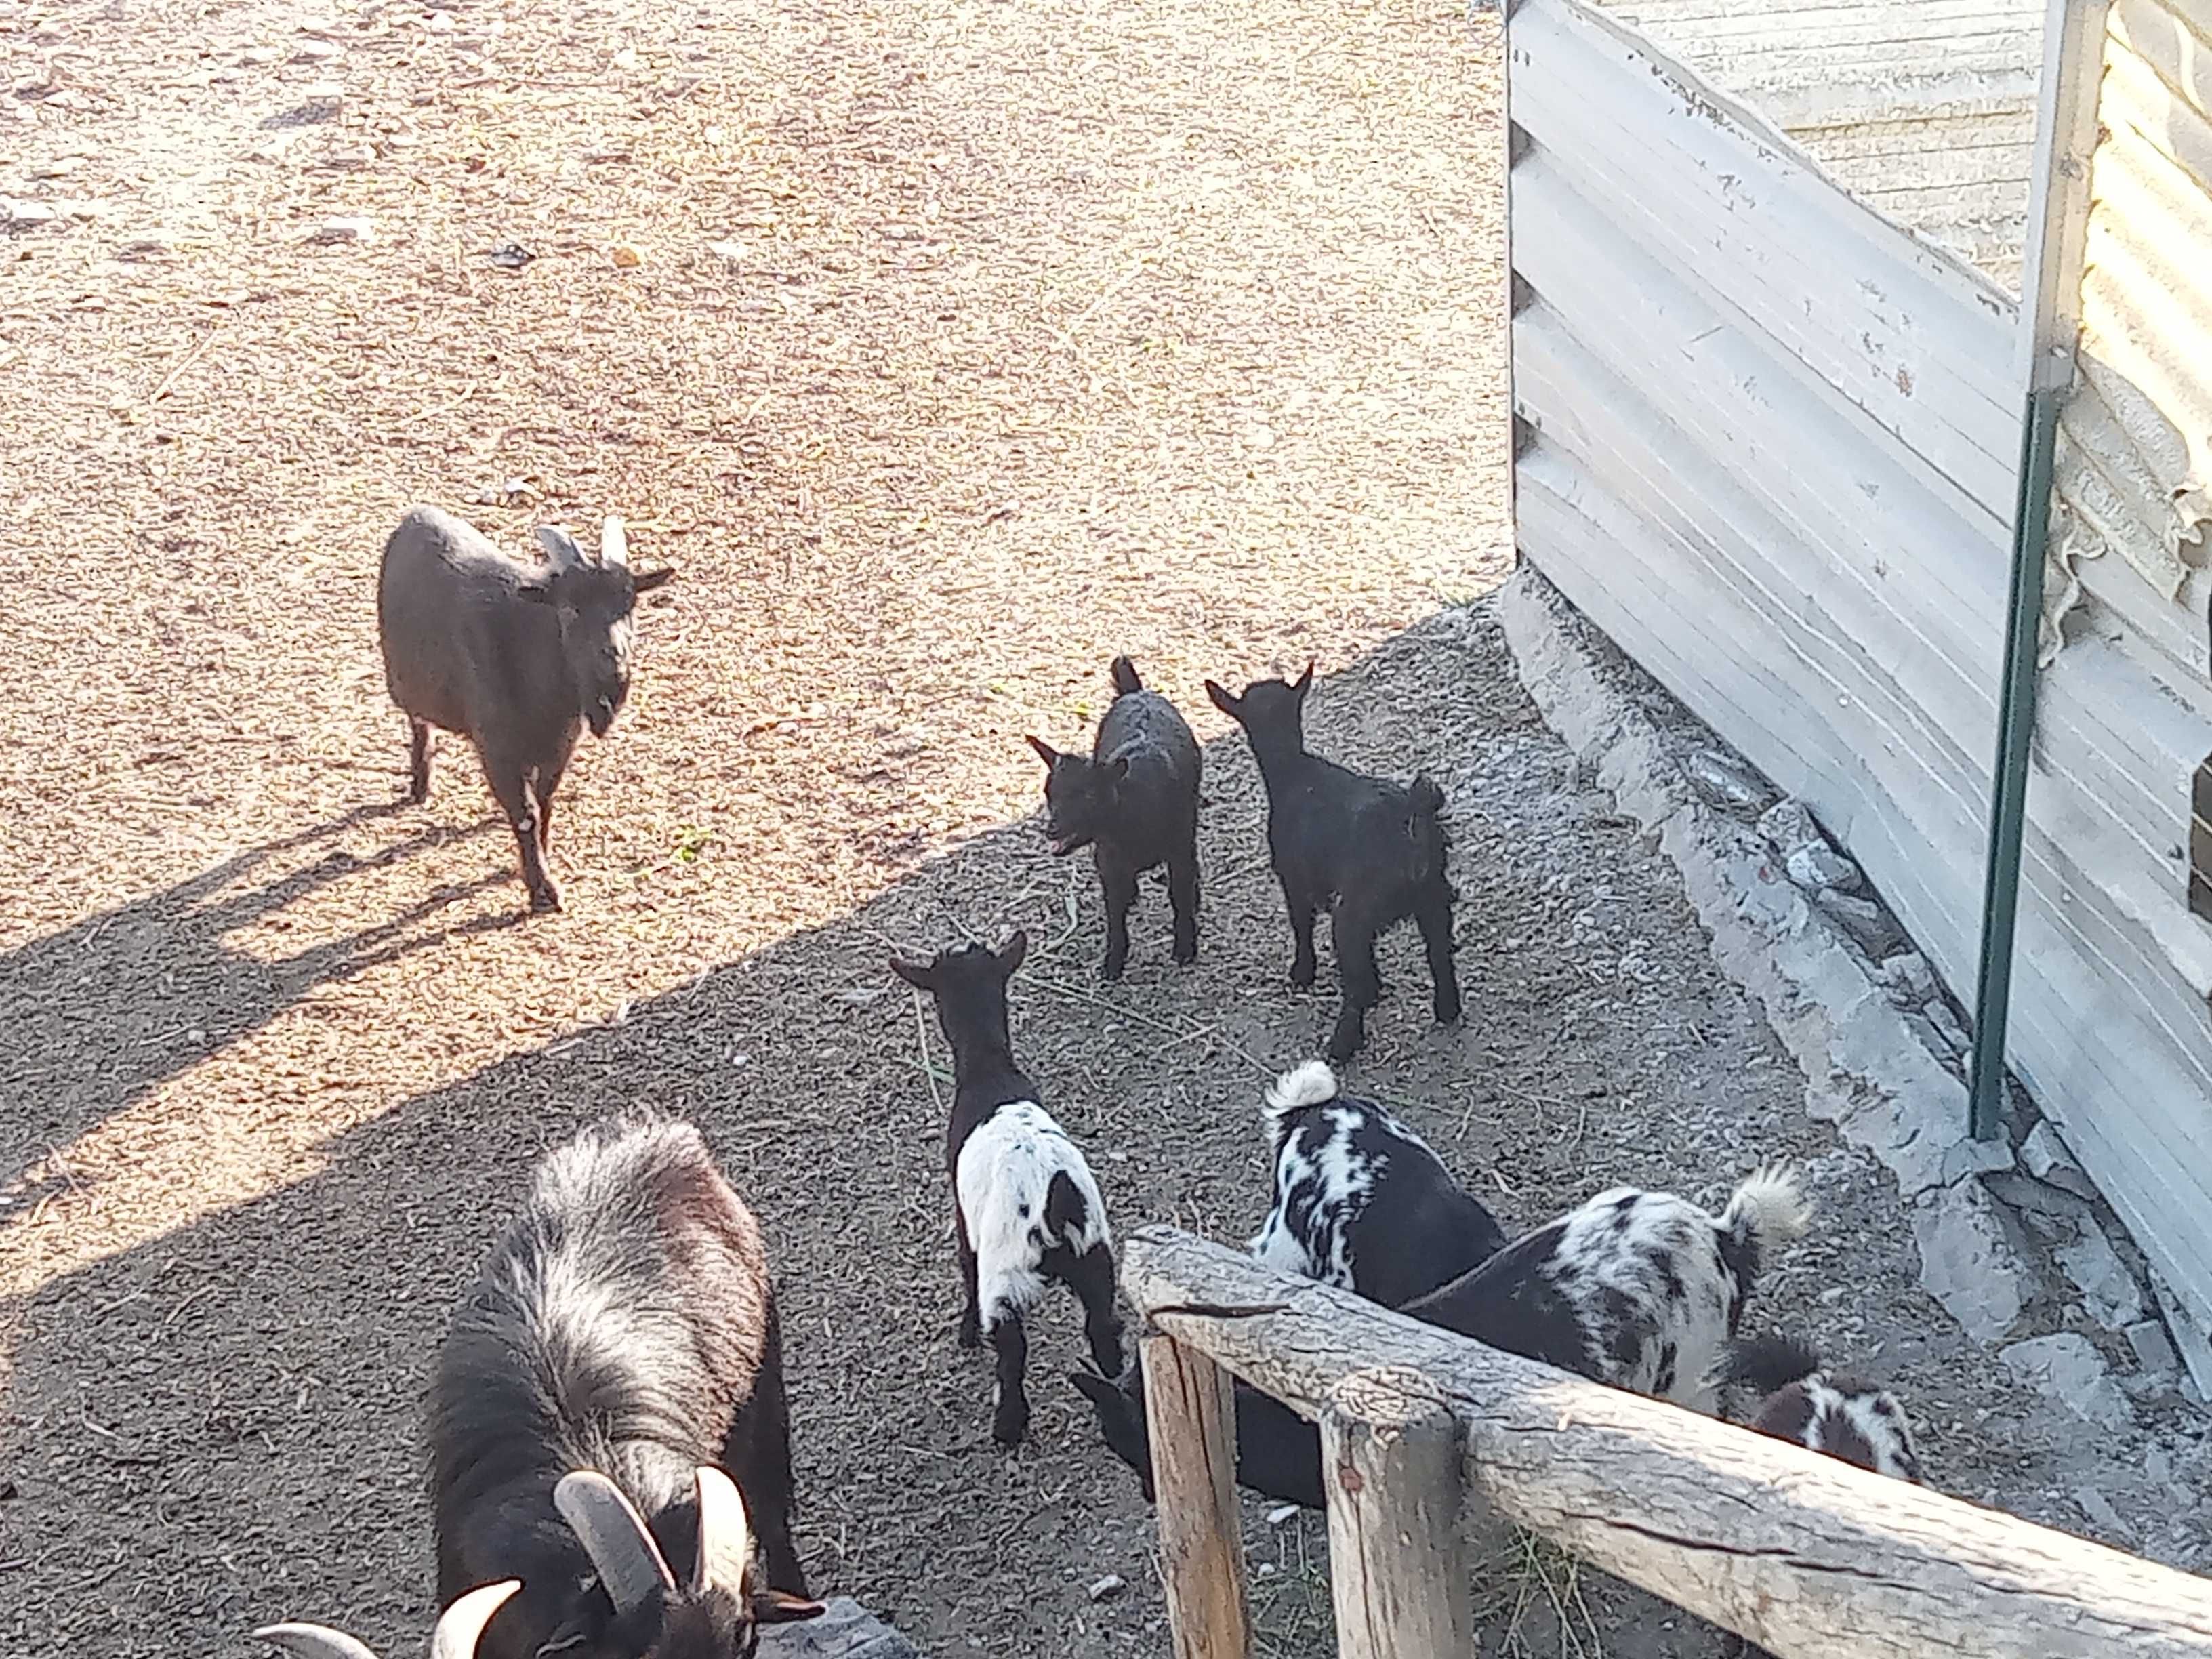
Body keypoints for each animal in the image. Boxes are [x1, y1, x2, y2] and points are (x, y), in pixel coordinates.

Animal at [375, 513, 668, 916]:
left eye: (629, 605)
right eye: (569, 610)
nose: (614, 668)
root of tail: (416, 517)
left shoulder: (559, 748)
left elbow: (544, 802)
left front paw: (537, 864)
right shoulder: (497, 751)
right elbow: (526, 813)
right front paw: (542, 890)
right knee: (419, 724)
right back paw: (421, 784)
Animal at [889, 937, 1124, 1451]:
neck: (989, 1070)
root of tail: (1055, 1200)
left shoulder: (964, 1219)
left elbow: (964, 1264)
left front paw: (964, 1331)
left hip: (1006, 1282)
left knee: (1012, 1350)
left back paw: (1008, 1426)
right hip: (1097, 1261)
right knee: (1103, 1323)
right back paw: (1112, 1369)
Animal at [1026, 655, 1203, 986]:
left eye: (1088, 796)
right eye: (1048, 793)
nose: (1052, 830)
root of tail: (1136, 692)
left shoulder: (1178, 849)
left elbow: (1179, 895)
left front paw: (1185, 947)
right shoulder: (1108, 861)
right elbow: (1115, 916)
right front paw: (1113, 963)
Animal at [1203, 668, 1460, 1066]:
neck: (1292, 771)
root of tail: (1410, 823)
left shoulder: (1293, 877)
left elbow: (1301, 925)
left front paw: (1303, 972)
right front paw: (1376, 988)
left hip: (1354, 911)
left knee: (1352, 979)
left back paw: (1342, 1044)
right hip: (1433, 898)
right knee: (1440, 953)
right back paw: (1447, 1009)